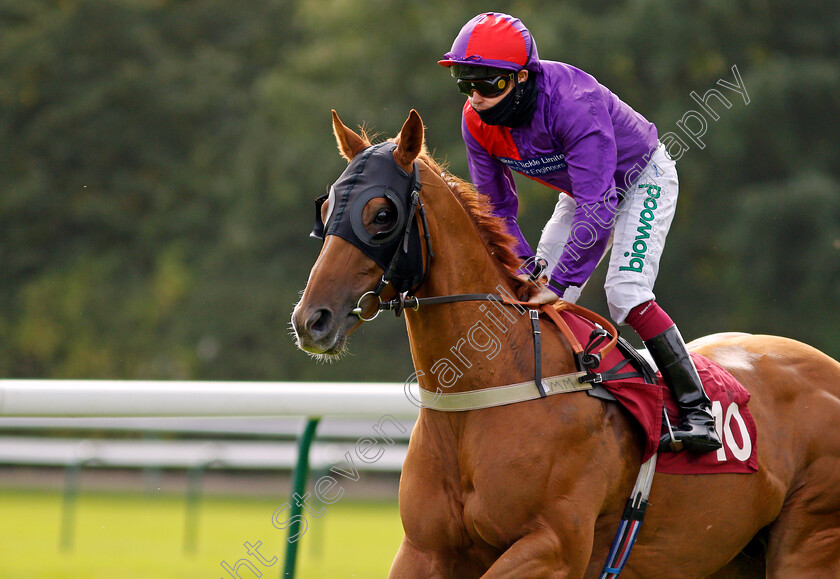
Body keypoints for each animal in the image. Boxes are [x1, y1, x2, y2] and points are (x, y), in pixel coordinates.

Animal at [292, 110, 840, 579]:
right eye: (328, 206)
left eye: (381, 213)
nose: (311, 319)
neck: (486, 393)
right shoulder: (425, 550)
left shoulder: (552, 547)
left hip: (808, 541)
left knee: (630, 292)